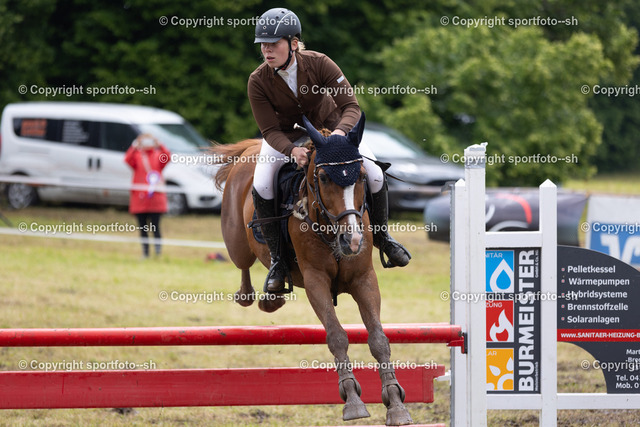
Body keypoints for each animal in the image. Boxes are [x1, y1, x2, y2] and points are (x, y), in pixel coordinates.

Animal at [210, 114, 412, 425]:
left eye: (362, 177)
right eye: (324, 177)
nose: (353, 241)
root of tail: (250, 149)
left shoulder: (364, 279)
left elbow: (379, 338)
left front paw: (395, 403)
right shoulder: (316, 281)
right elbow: (337, 336)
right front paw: (352, 400)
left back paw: (273, 296)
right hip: (236, 242)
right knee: (244, 265)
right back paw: (260, 292)